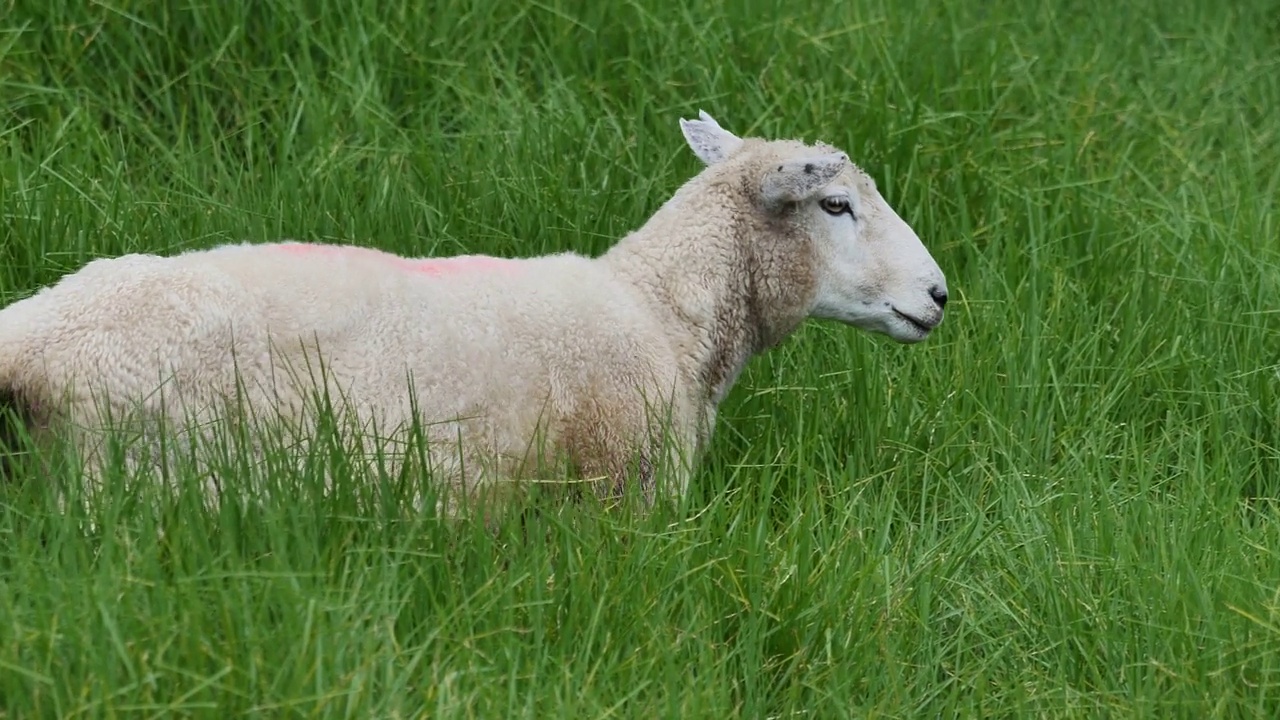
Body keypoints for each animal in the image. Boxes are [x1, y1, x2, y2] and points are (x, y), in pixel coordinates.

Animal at [0, 110, 952, 515]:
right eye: (836, 206)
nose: (939, 295)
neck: (661, 314)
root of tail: (33, 333)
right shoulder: (623, 488)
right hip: (138, 474)